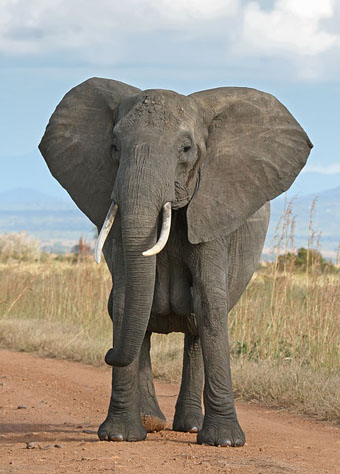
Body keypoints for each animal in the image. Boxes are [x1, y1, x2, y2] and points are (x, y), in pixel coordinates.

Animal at [38, 76, 312, 446]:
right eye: (114, 147)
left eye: (186, 149)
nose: (107, 354)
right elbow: (124, 299)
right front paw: (120, 436)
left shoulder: (213, 208)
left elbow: (209, 300)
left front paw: (225, 442)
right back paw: (151, 421)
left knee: (196, 326)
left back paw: (190, 427)